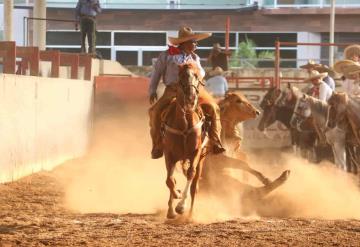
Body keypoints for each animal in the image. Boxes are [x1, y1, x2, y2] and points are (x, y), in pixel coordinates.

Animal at [162, 62, 210, 219]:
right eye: (181, 75)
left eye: (197, 75)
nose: (191, 96)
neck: (184, 125)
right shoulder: (169, 154)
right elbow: (170, 180)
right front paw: (174, 202)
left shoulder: (195, 153)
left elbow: (190, 174)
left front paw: (181, 206)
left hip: (201, 159)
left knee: (195, 185)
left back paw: (190, 215)